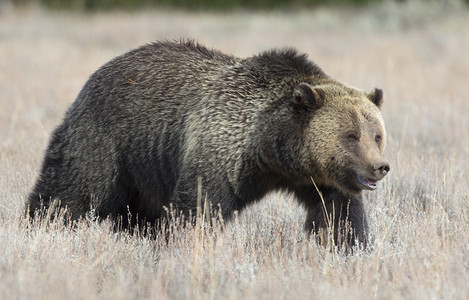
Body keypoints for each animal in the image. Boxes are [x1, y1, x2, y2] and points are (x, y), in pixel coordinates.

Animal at [26, 39, 388, 246]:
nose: (379, 167)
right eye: (350, 135)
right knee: (73, 190)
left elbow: (338, 213)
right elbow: (199, 206)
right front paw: (184, 243)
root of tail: (97, 74)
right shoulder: (221, 149)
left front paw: (348, 245)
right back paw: (41, 226)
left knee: (137, 215)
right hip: (106, 137)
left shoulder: (319, 178)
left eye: (376, 134)